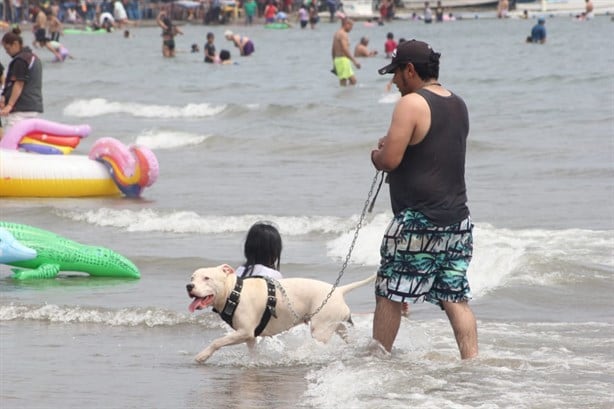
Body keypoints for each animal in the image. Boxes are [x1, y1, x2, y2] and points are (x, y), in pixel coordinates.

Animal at [185, 262, 376, 362]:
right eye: (192, 277)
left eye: (207, 278)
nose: (189, 286)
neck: (234, 292)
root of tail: (339, 290)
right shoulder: (249, 336)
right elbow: (253, 351)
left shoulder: (244, 332)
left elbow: (217, 341)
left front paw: (203, 355)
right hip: (333, 324)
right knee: (344, 332)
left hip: (320, 329)